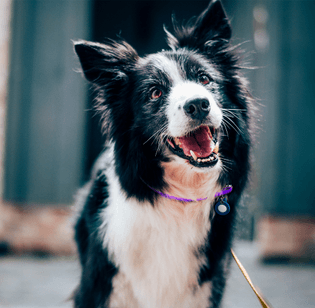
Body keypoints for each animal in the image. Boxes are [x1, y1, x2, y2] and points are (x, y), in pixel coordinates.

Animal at [73, 1, 252, 306]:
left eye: (205, 79)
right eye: (155, 93)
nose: (198, 104)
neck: (182, 198)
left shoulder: (204, 288)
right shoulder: (103, 284)